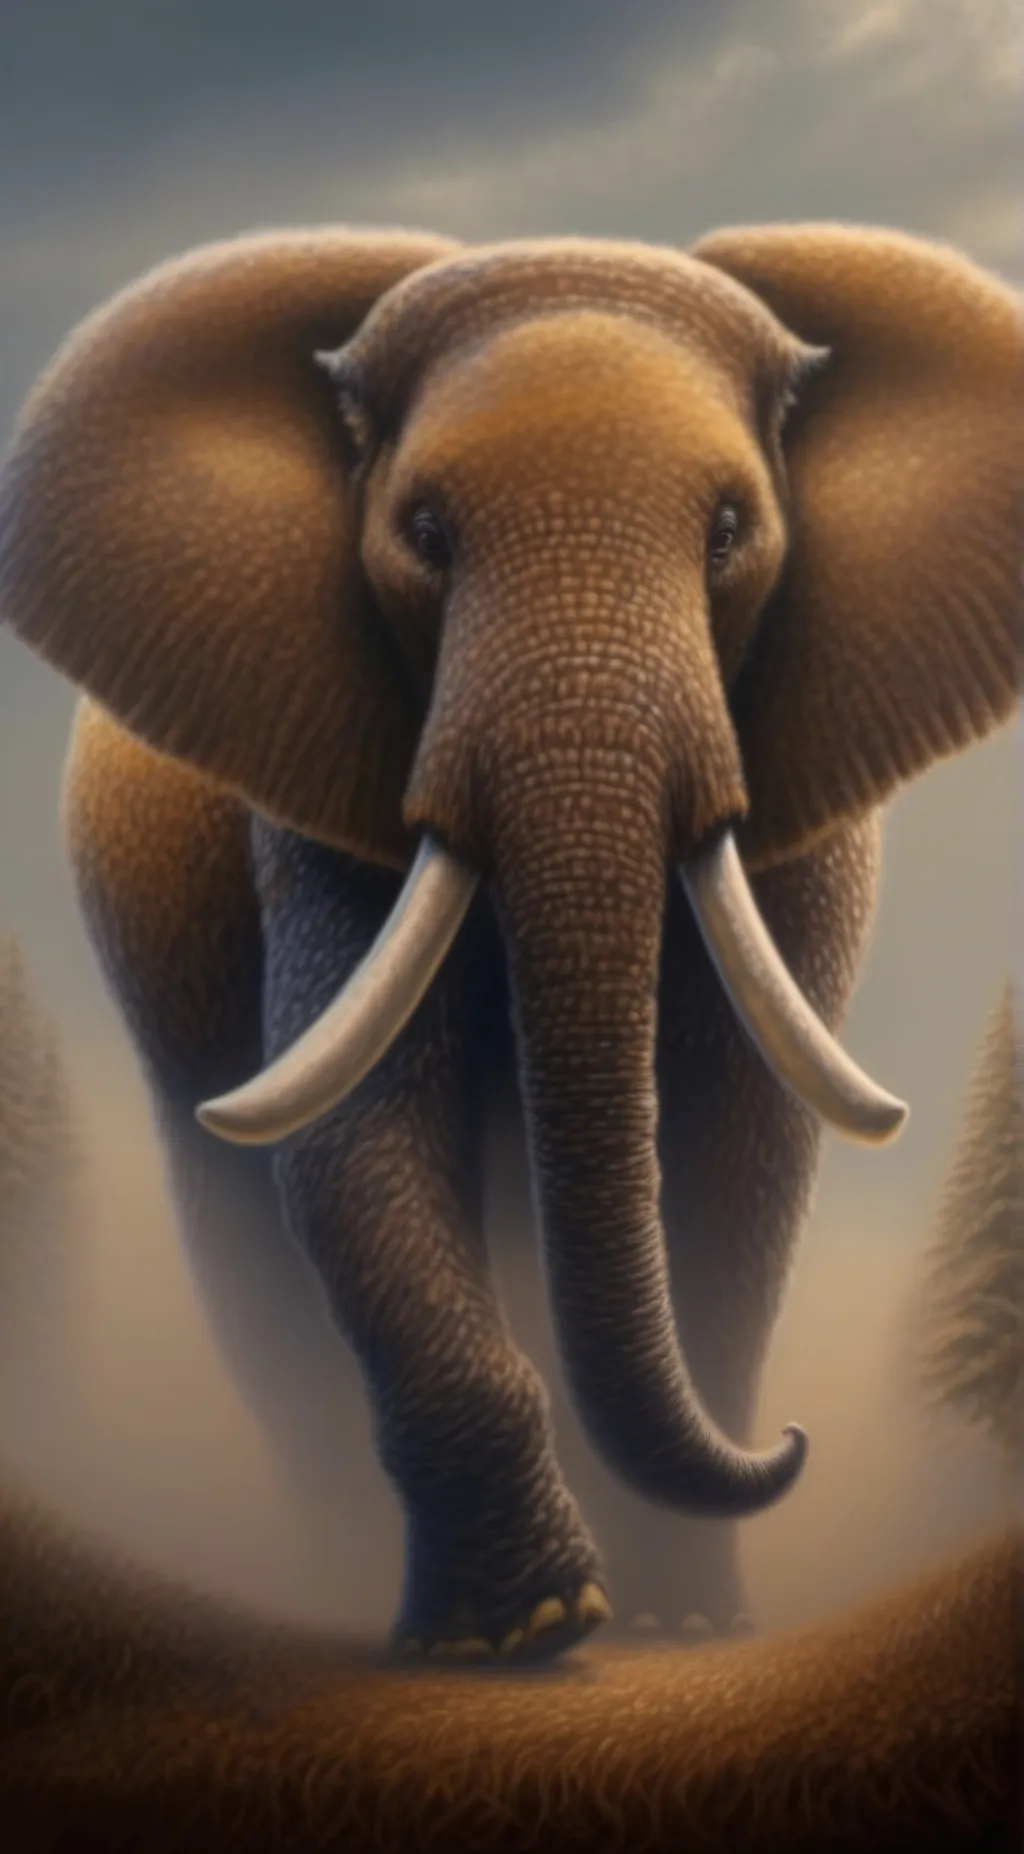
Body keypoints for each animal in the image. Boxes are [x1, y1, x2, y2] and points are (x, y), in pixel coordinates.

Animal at [0, 220, 1019, 1661]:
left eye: (729, 531)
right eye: (424, 533)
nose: (788, 1442)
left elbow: (739, 1156)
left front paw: (681, 1625)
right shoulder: (325, 783)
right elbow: (363, 1139)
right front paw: (522, 1631)